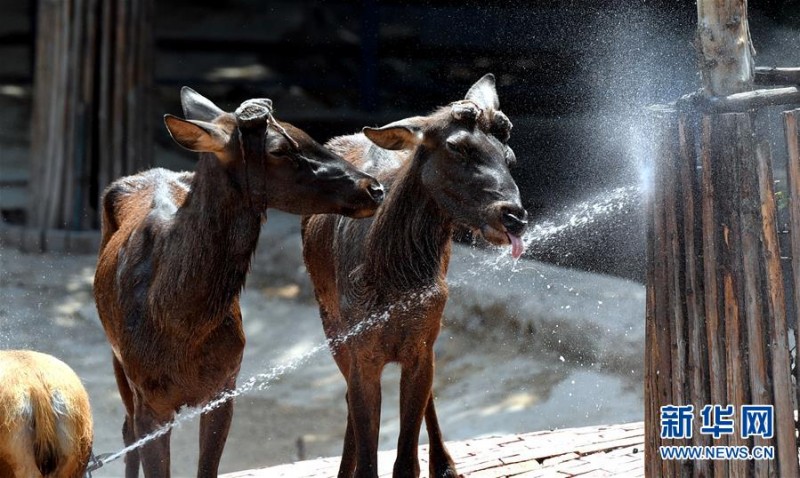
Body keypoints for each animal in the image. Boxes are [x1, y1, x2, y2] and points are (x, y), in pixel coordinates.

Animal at [92, 87, 386, 478]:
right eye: (279, 149)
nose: (374, 188)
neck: (181, 325)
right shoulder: (150, 400)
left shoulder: (225, 385)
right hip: (118, 361)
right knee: (126, 431)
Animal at [304, 73, 528, 476]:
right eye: (458, 149)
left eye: (509, 157)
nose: (514, 216)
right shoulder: (359, 347)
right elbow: (368, 452)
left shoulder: (423, 340)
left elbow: (407, 458)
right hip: (329, 323)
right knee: (346, 396)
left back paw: (445, 463)